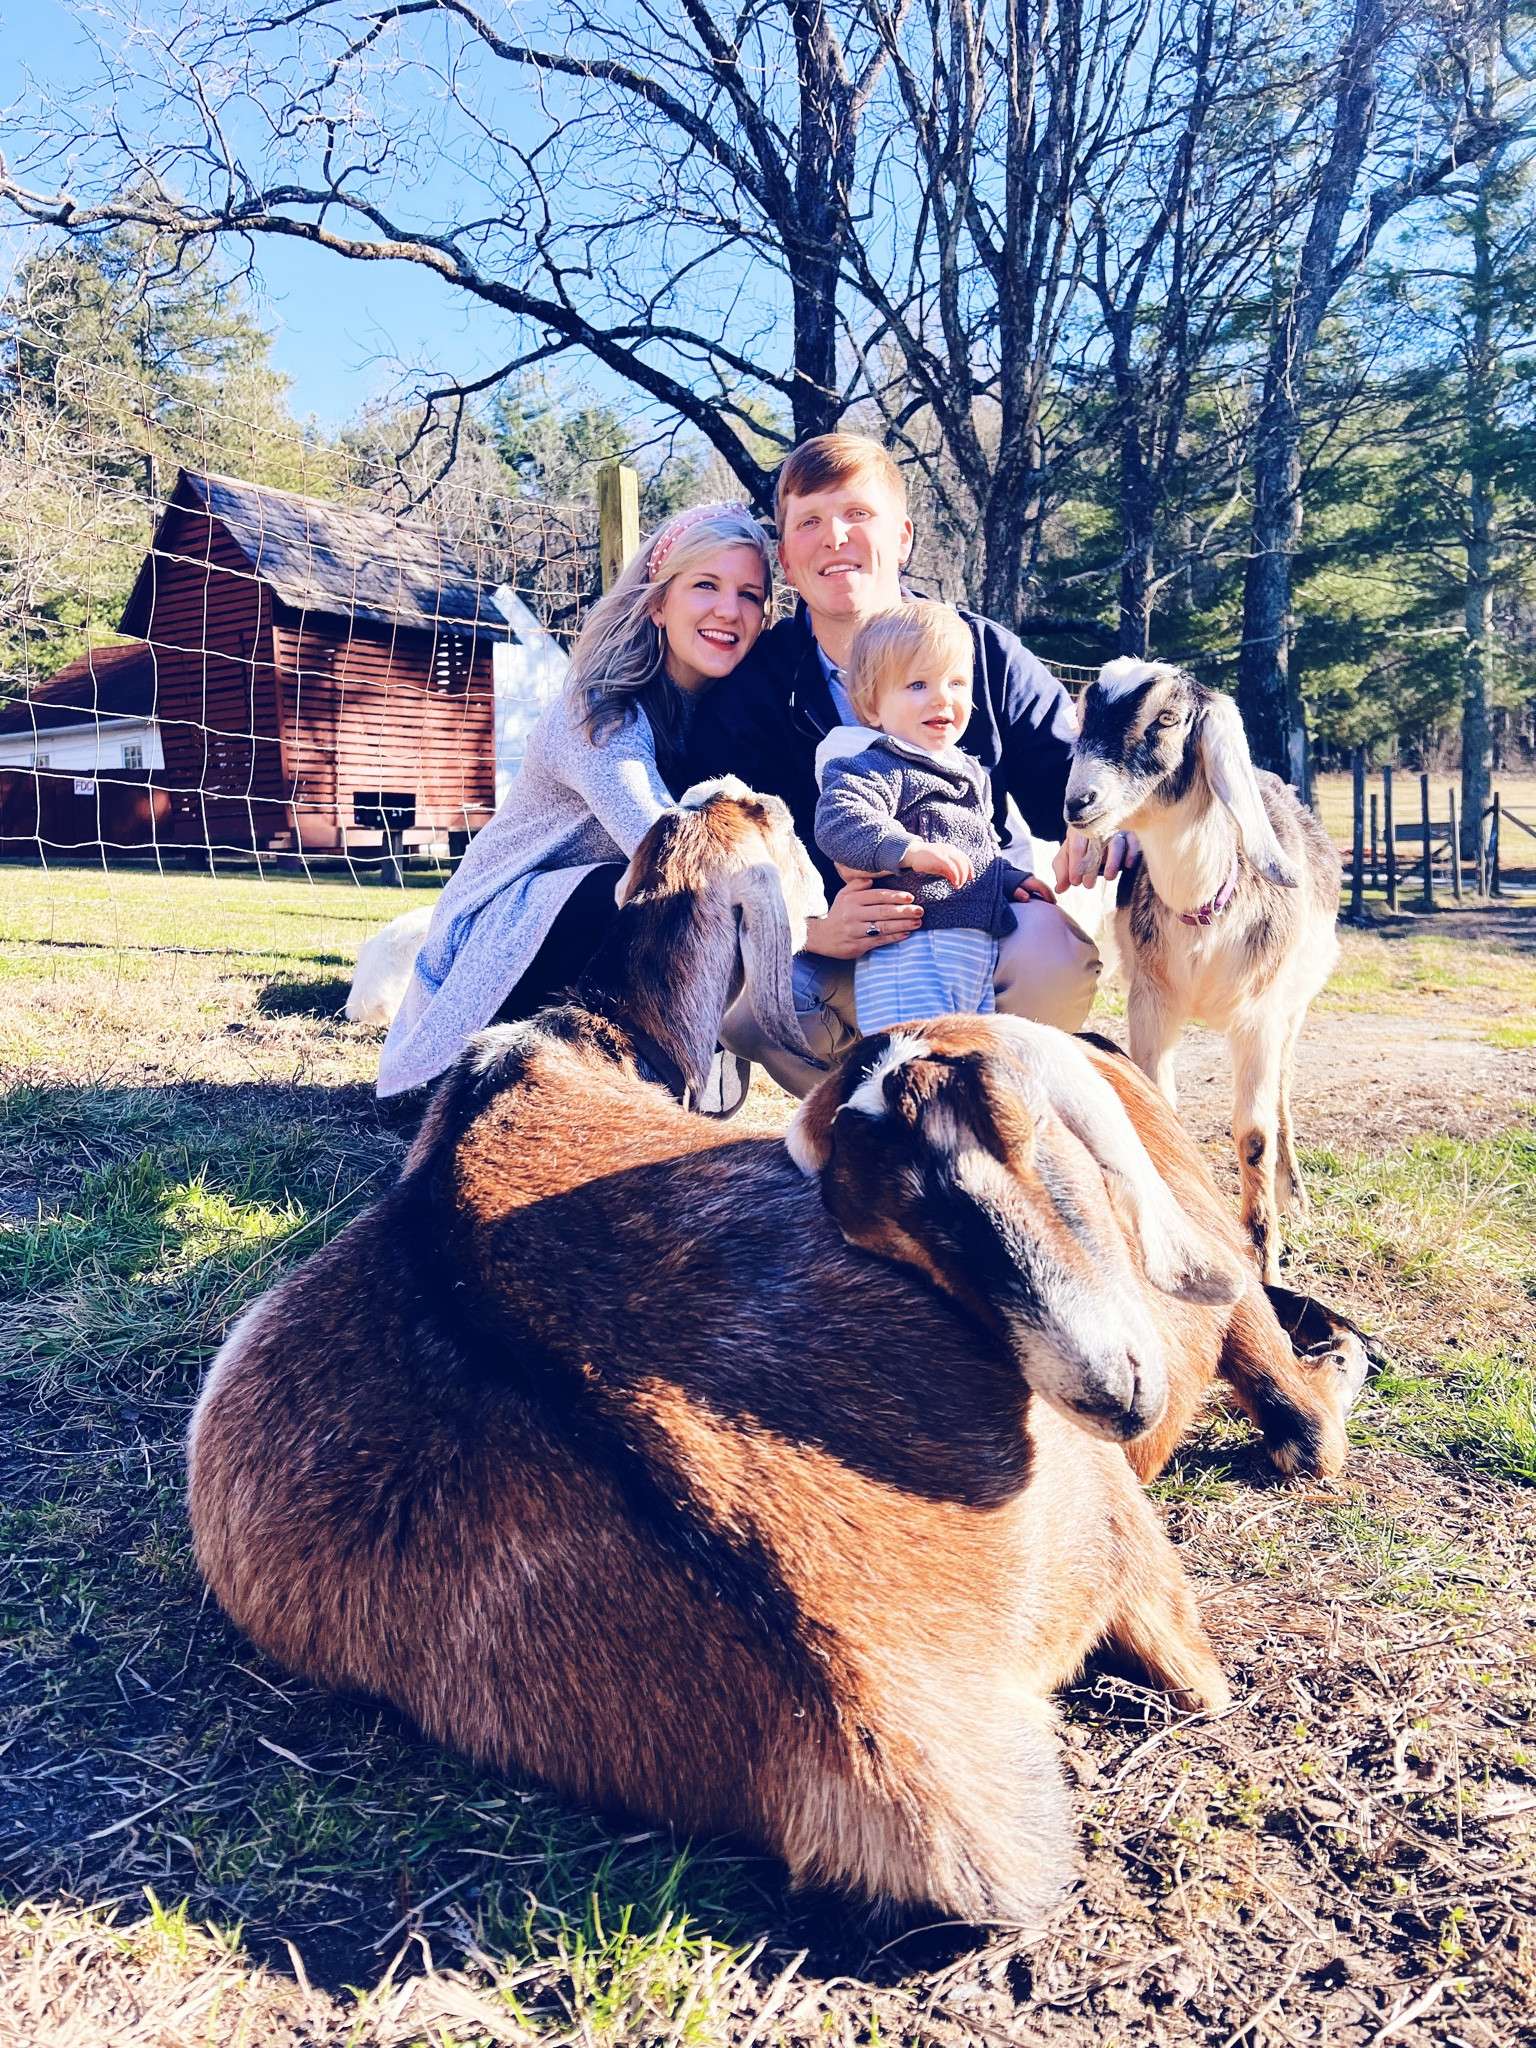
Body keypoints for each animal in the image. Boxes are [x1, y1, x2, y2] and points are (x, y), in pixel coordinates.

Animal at [787, 1017, 1368, 1488]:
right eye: (896, 1251)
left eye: (1027, 1122)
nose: (1110, 1394)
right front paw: (1341, 1351)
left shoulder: (1236, 1293)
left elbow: (1310, 1443)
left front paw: (1343, 1351)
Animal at [1064, 660, 1341, 1282]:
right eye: (1085, 713)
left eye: (1167, 718)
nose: (1078, 802)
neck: (1205, 918)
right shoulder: (1149, 1004)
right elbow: (1159, 1108)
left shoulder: (1260, 1016)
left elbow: (1255, 1135)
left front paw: (1266, 1262)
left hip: (1295, 1006)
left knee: (1283, 1087)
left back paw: (1294, 1193)